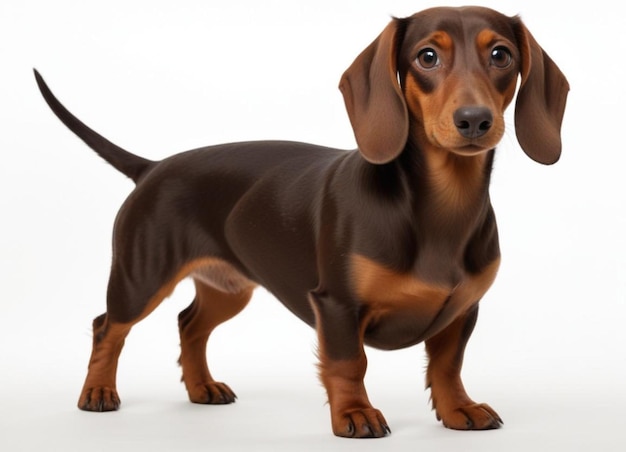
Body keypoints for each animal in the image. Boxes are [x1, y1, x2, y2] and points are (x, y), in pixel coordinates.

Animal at [35, 6, 564, 438]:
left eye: (501, 55)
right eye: (427, 57)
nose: (474, 120)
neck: (442, 206)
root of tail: (153, 167)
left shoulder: (462, 310)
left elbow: (448, 366)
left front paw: (459, 410)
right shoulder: (336, 305)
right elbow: (350, 363)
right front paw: (355, 414)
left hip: (229, 289)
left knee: (190, 324)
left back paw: (202, 387)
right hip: (141, 276)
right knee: (108, 326)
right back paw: (97, 393)